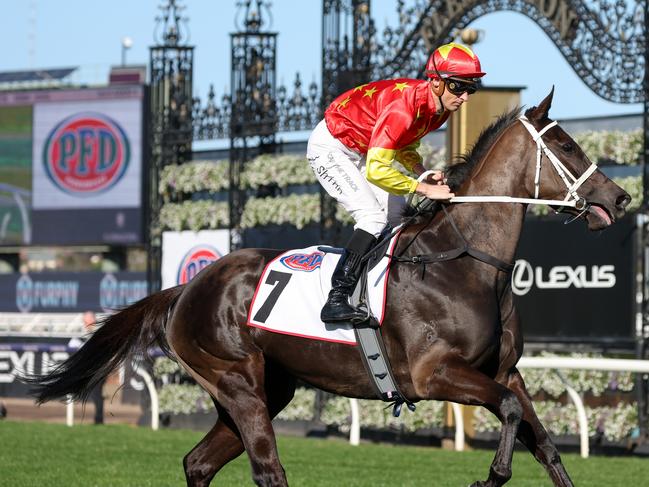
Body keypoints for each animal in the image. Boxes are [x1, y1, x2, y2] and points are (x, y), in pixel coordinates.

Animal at [27, 88, 632, 487]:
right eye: (568, 147)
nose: (621, 197)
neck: (465, 262)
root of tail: (186, 288)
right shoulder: (435, 374)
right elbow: (506, 412)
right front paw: (491, 475)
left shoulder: (504, 372)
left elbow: (544, 441)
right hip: (238, 382)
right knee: (268, 469)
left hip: (265, 388)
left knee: (198, 463)